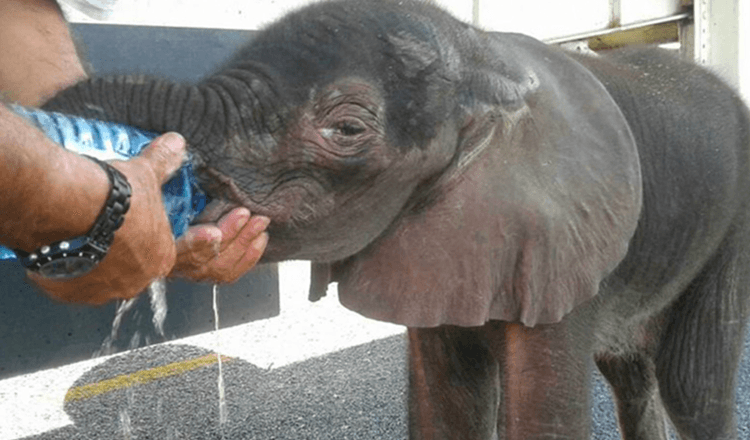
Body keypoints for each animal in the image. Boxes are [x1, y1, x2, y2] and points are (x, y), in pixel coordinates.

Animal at [45, 0, 750, 440]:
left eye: (348, 129)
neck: (482, 59)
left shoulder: (560, 234)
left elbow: (541, 418)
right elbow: (448, 411)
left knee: (693, 389)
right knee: (631, 374)